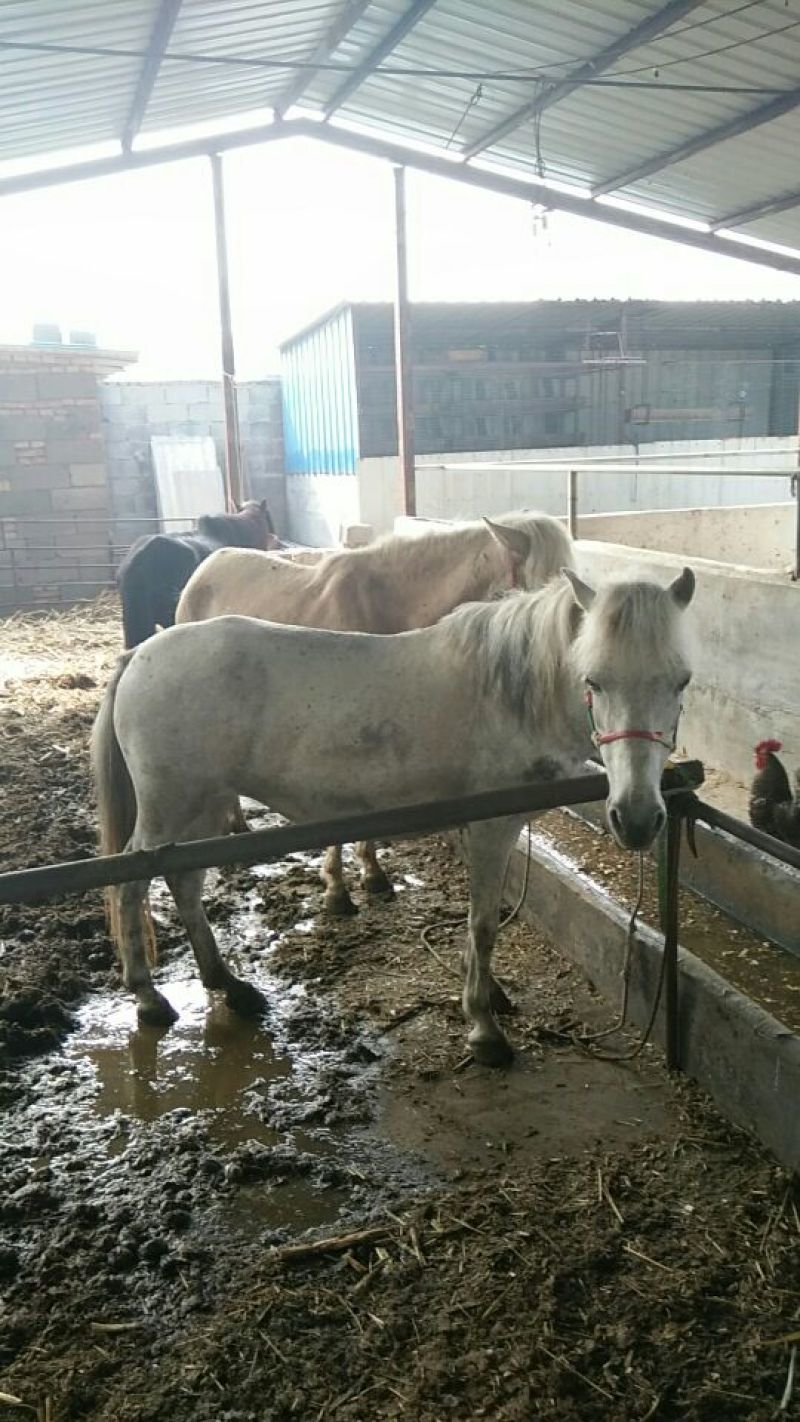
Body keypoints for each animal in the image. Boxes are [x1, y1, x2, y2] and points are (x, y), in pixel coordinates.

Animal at [91, 563, 695, 1066]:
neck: (510, 692)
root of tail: (139, 656)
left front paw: (489, 993)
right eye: (594, 680)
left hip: (198, 811)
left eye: (681, 681)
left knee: (185, 883)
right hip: (170, 810)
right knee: (130, 887)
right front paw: (483, 1026)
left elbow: (482, 921)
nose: (636, 819)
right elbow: (482, 924)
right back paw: (150, 999)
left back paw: (229, 985)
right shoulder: (491, 829)